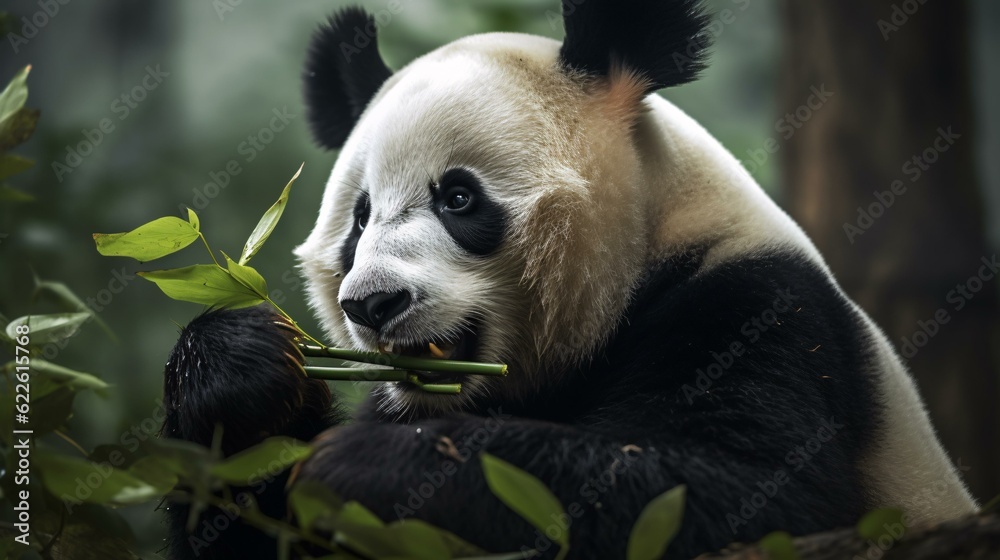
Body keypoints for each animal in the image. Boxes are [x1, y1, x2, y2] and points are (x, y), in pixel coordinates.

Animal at [162, 1, 976, 560]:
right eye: (359, 219)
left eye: (459, 198)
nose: (374, 303)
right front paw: (239, 371)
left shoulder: (757, 311)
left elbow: (745, 492)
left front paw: (363, 468)